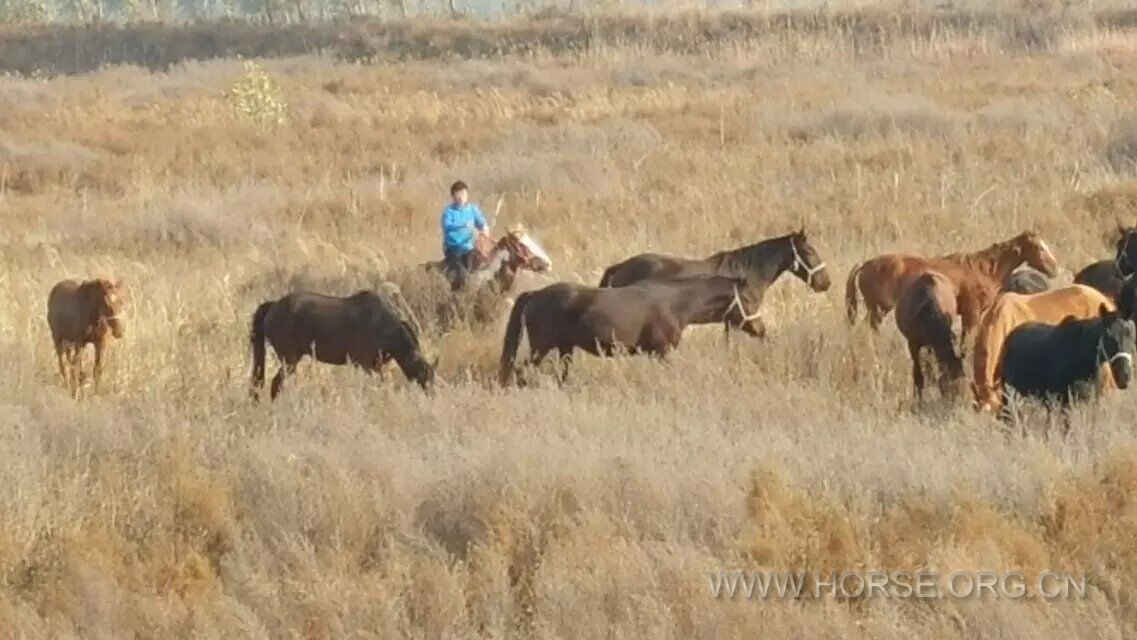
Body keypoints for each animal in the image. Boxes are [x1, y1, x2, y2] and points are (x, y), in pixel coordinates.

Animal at [250, 288, 434, 400]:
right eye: (424, 374)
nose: (431, 395)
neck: (382, 325)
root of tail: (274, 306)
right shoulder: (367, 366)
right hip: (289, 360)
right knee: (276, 383)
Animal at [498, 275, 764, 386]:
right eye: (749, 299)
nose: (761, 330)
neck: (677, 303)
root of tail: (535, 294)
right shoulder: (663, 352)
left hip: (565, 349)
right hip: (541, 349)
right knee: (520, 370)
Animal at [845, 230, 1055, 345]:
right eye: (1038, 247)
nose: (1054, 267)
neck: (985, 268)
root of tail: (864, 265)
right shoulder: (972, 313)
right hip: (878, 310)